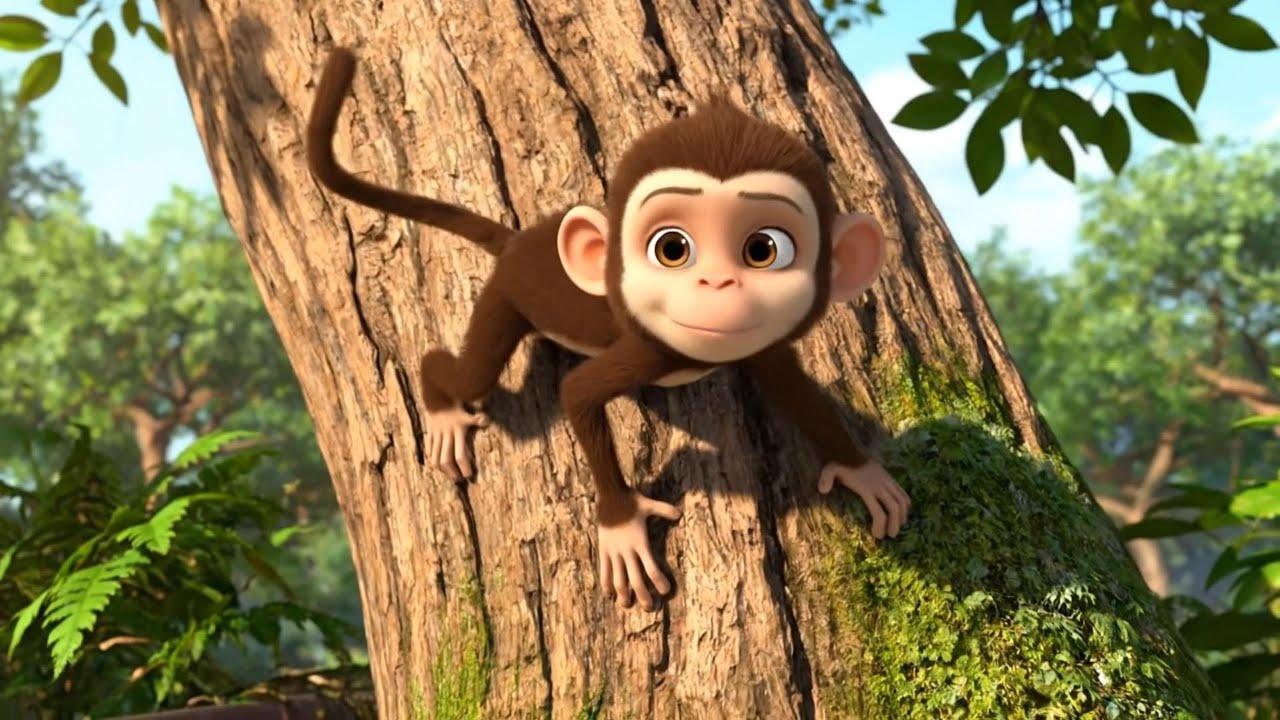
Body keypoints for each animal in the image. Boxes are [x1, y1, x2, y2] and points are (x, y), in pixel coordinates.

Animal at [306, 48, 911, 611]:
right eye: (672, 247)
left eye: (764, 249)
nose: (717, 283)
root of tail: (517, 245)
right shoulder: (646, 351)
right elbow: (578, 395)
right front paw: (621, 528)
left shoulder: (763, 348)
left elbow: (794, 391)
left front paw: (862, 472)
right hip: (503, 301)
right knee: (466, 373)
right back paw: (443, 408)